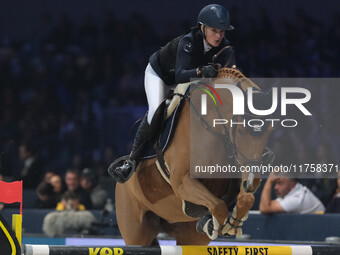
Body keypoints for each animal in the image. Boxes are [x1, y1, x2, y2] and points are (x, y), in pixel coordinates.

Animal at [114, 67, 274, 245]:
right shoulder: (182, 182)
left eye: (270, 130)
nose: (252, 183)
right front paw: (214, 225)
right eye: (240, 130)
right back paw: (125, 168)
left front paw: (232, 224)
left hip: (188, 236)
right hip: (136, 231)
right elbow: (218, 205)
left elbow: (246, 199)